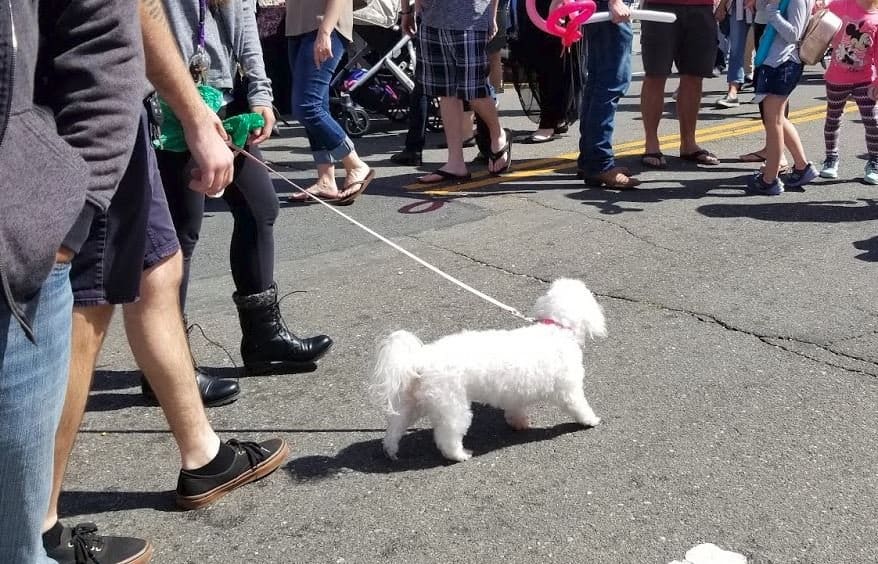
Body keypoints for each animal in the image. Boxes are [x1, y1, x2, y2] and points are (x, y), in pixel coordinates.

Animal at [370, 278, 604, 462]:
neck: (557, 328)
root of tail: (420, 359)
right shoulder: (569, 389)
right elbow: (579, 407)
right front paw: (591, 420)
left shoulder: (515, 394)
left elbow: (515, 409)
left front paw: (519, 423)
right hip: (452, 406)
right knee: (448, 436)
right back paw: (459, 455)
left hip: (413, 403)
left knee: (395, 427)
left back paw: (390, 451)